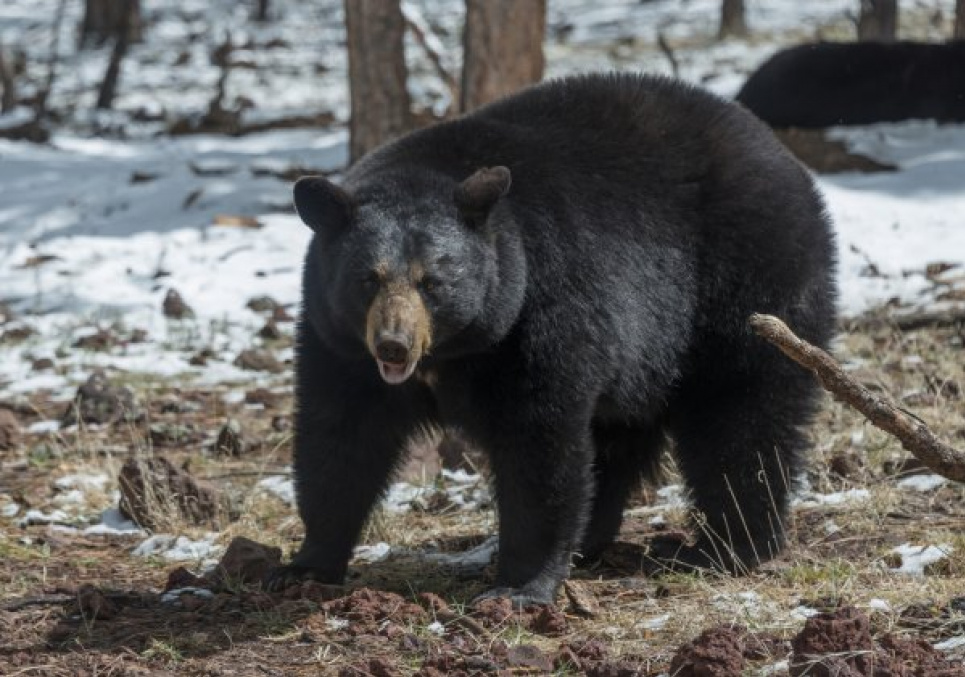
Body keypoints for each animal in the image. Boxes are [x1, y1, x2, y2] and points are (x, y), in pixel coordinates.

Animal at [270, 72, 836, 604]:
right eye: (369, 278)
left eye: (433, 282)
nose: (394, 345)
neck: (453, 352)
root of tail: (782, 155)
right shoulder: (338, 340)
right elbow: (341, 435)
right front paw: (306, 566)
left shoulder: (537, 311)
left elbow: (538, 440)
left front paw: (520, 586)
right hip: (648, 352)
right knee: (619, 437)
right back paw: (595, 540)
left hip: (749, 282)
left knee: (742, 413)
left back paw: (726, 548)